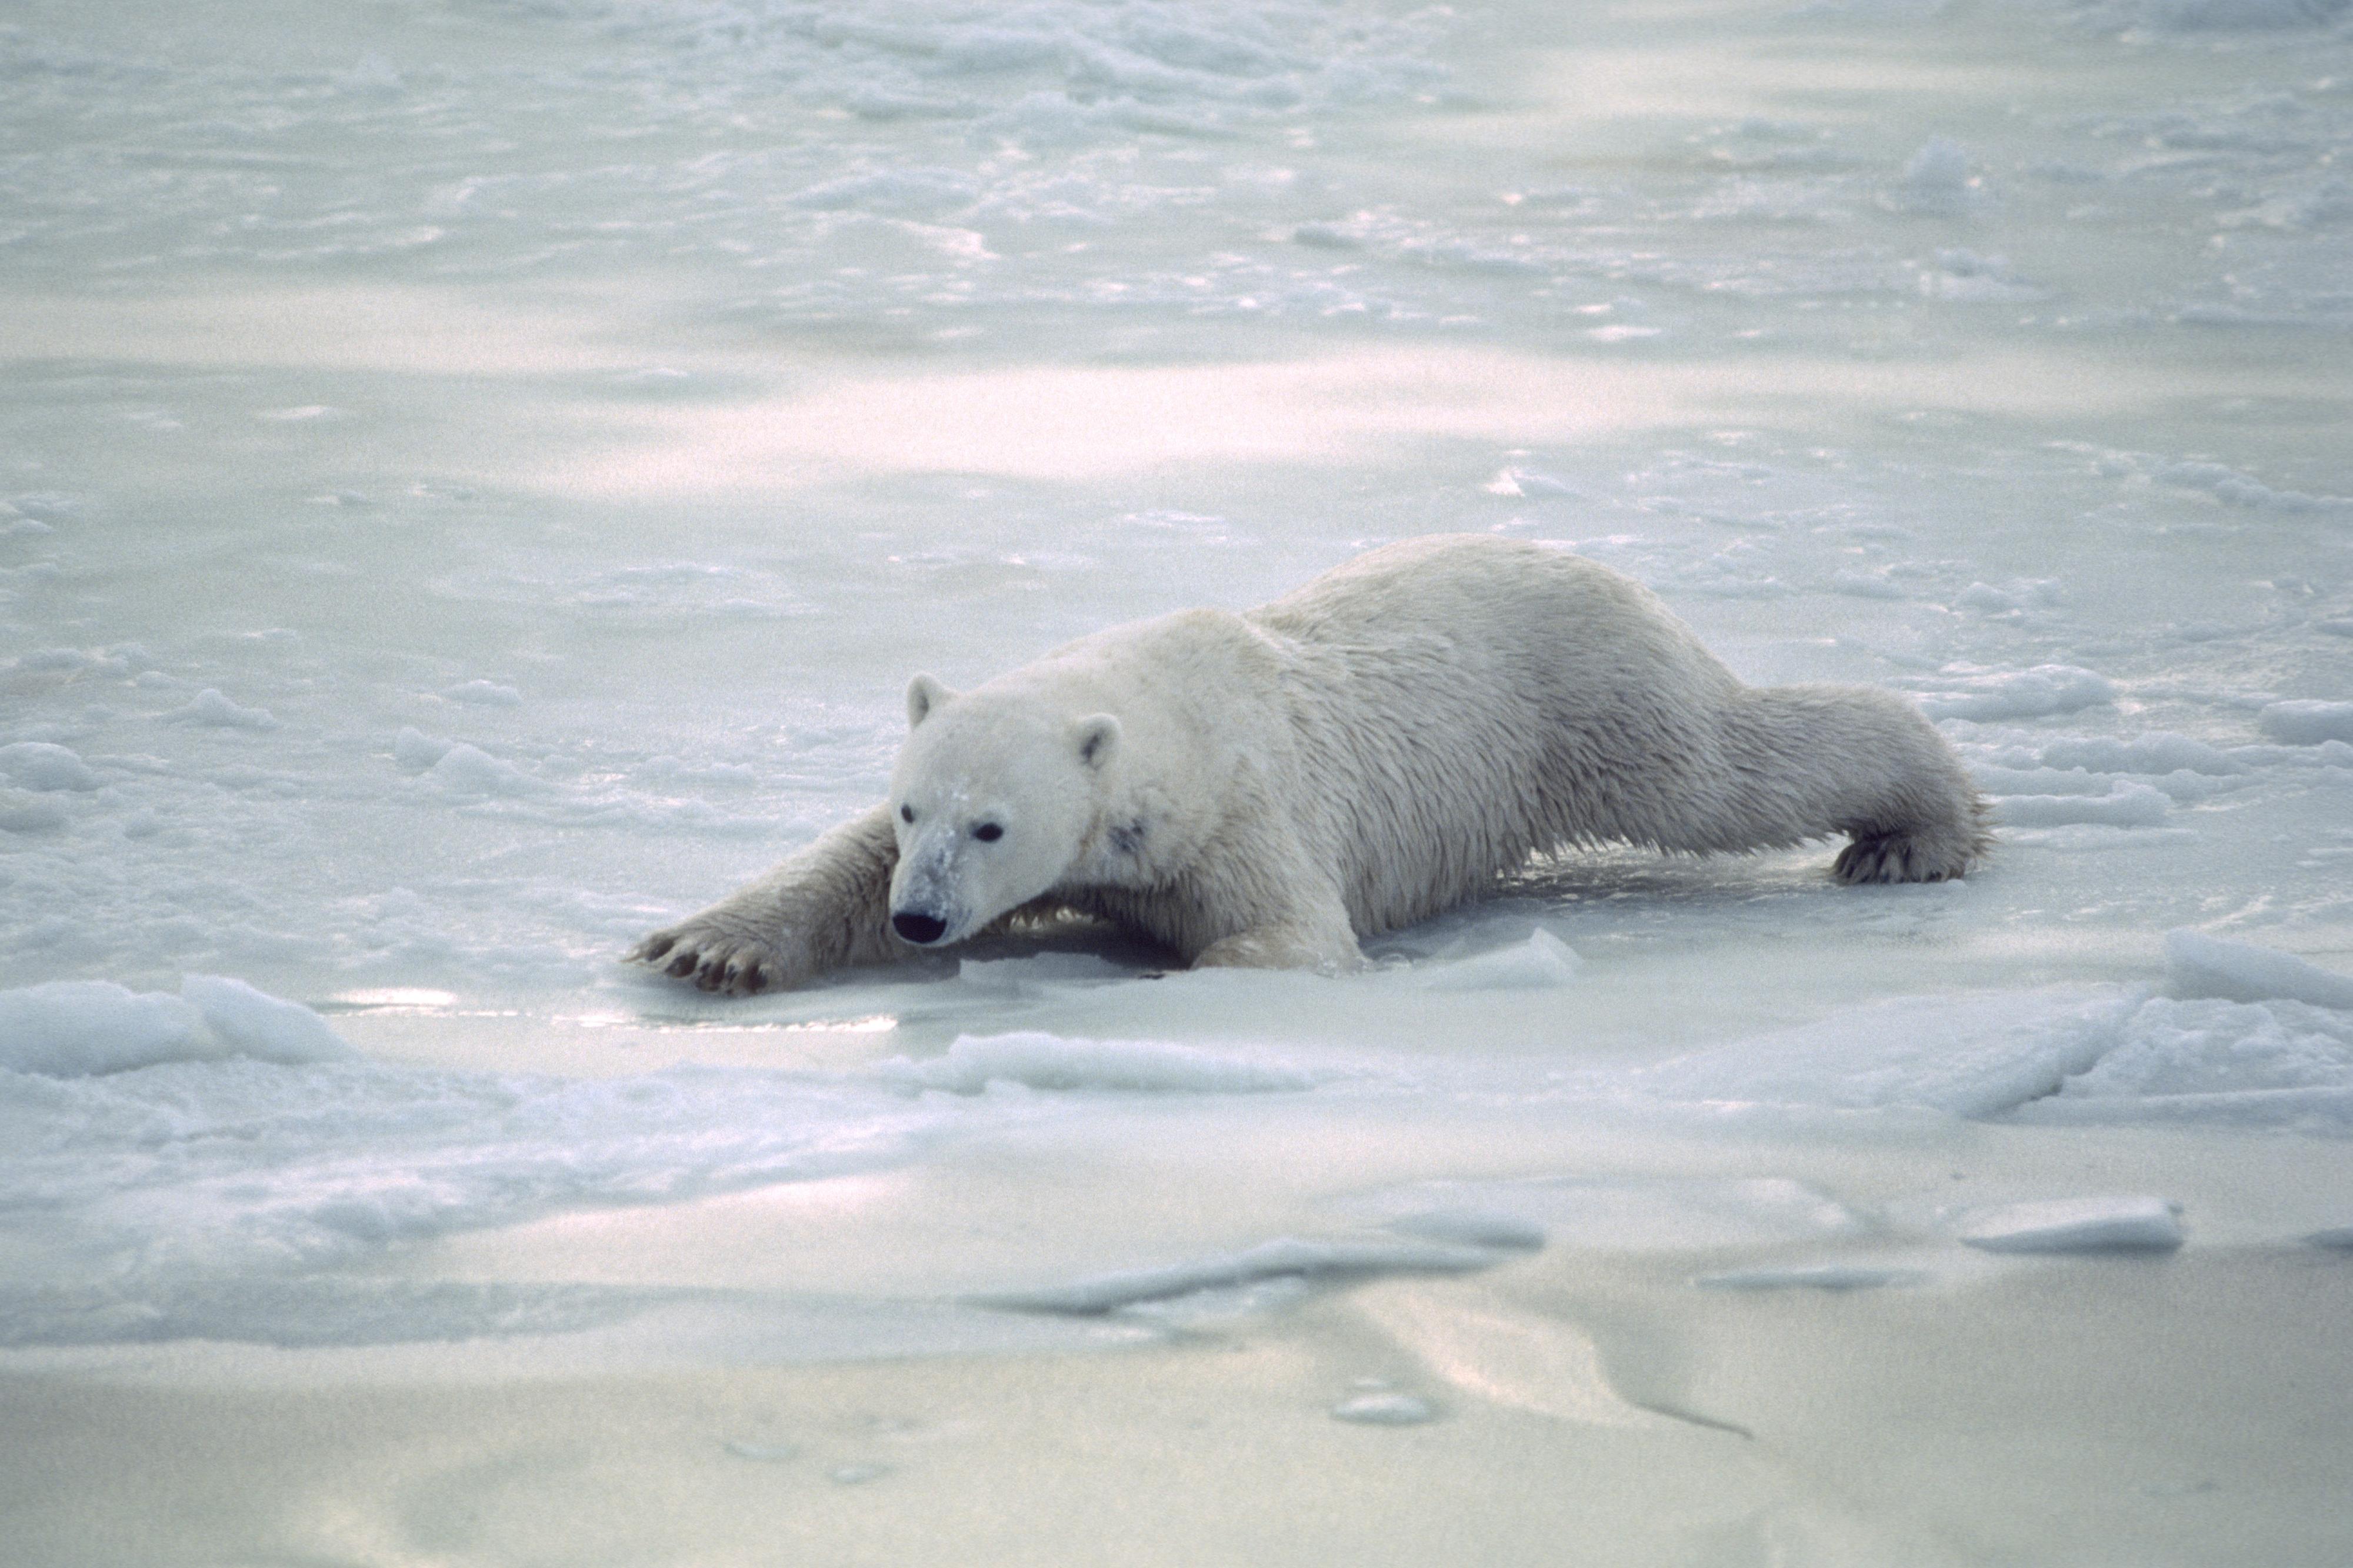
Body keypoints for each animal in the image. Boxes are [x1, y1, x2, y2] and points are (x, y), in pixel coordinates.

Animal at [630, 534, 1991, 995]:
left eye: (992, 826)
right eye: (916, 808)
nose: (922, 921)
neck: (1159, 715)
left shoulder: (1242, 812)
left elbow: (1292, 933)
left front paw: (1172, 965)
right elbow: (833, 867)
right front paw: (707, 948)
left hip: (1588, 695)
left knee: (1727, 766)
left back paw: (1915, 831)